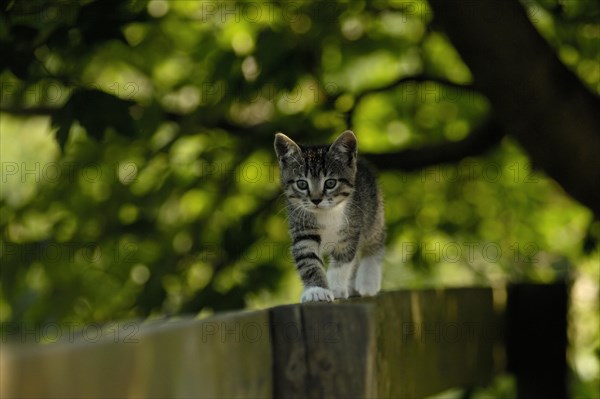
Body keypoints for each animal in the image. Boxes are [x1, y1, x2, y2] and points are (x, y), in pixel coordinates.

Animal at [274, 131, 384, 304]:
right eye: (302, 184)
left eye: (330, 183)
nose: (316, 200)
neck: (326, 213)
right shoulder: (302, 230)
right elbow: (308, 260)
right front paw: (317, 290)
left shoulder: (351, 229)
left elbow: (343, 260)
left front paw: (336, 287)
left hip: (373, 211)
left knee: (375, 242)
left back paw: (368, 281)